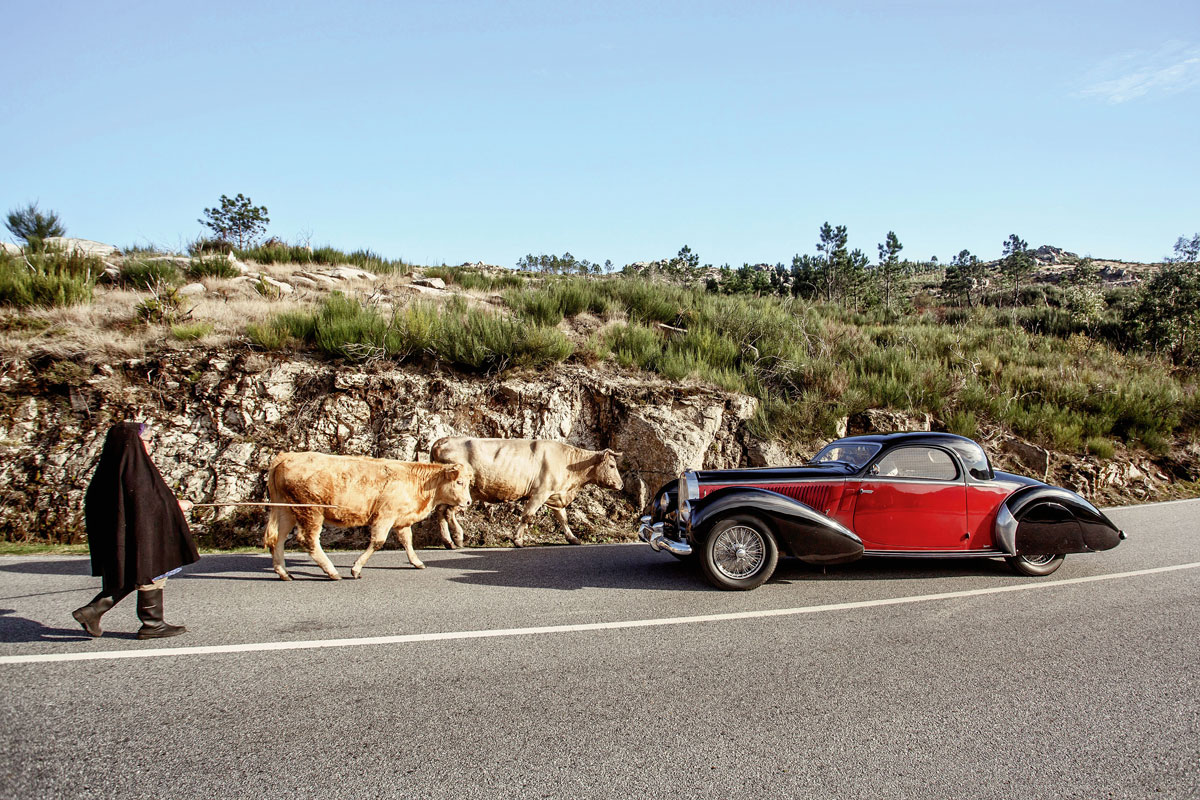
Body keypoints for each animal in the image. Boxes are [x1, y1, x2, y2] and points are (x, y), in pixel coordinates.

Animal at [262, 450, 472, 582]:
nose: (469, 502)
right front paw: (356, 568)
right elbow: (378, 542)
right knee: (308, 540)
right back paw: (332, 571)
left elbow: (407, 541)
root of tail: (287, 456)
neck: (417, 482)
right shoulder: (385, 515)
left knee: (278, 539)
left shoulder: (401, 519)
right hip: (311, 510)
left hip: (286, 510)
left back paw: (284, 573)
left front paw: (417, 562)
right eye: (459, 482)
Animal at [429, 438, 624, 551]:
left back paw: (448, 542)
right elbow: (527, 516)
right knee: (448, 512)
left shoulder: (554, 495)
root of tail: (442, 441)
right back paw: (458, 537)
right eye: (612, 465)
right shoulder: (540, 493)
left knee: (441, 512)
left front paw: (573, 538)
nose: (621, 485)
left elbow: (563, 519)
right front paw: (518, 541)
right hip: (461, 491)